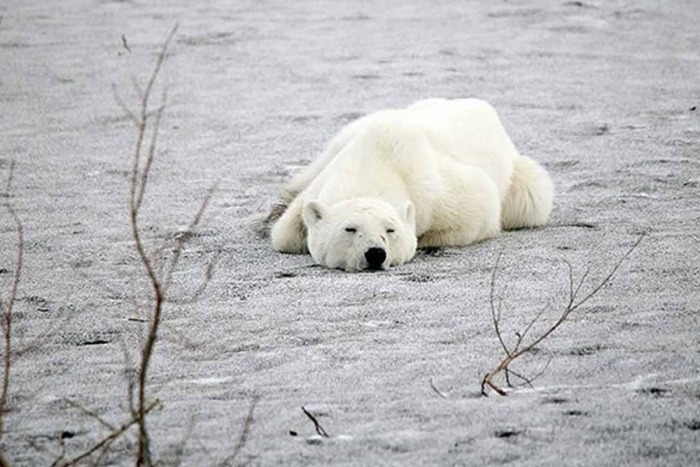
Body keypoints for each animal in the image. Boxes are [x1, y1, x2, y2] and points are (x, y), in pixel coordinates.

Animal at [268, 99, 552, 274]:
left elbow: (479, 207)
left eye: (389, 229)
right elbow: (284, 234)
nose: (375, 253)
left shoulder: (436, 191)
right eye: (350, 228)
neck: (376, 161)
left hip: (520, 179)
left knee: (531, 198)